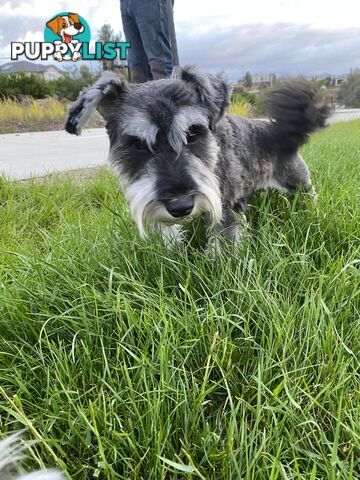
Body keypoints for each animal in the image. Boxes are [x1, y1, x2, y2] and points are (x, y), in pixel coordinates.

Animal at [64, 66, 330, 248]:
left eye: (193, 134)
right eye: (137, 144)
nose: (180, 206)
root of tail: (278, 130)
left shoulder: (227, 206)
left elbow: (223, 244)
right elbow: (169, 234)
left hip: (297, 180)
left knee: (310, 195)